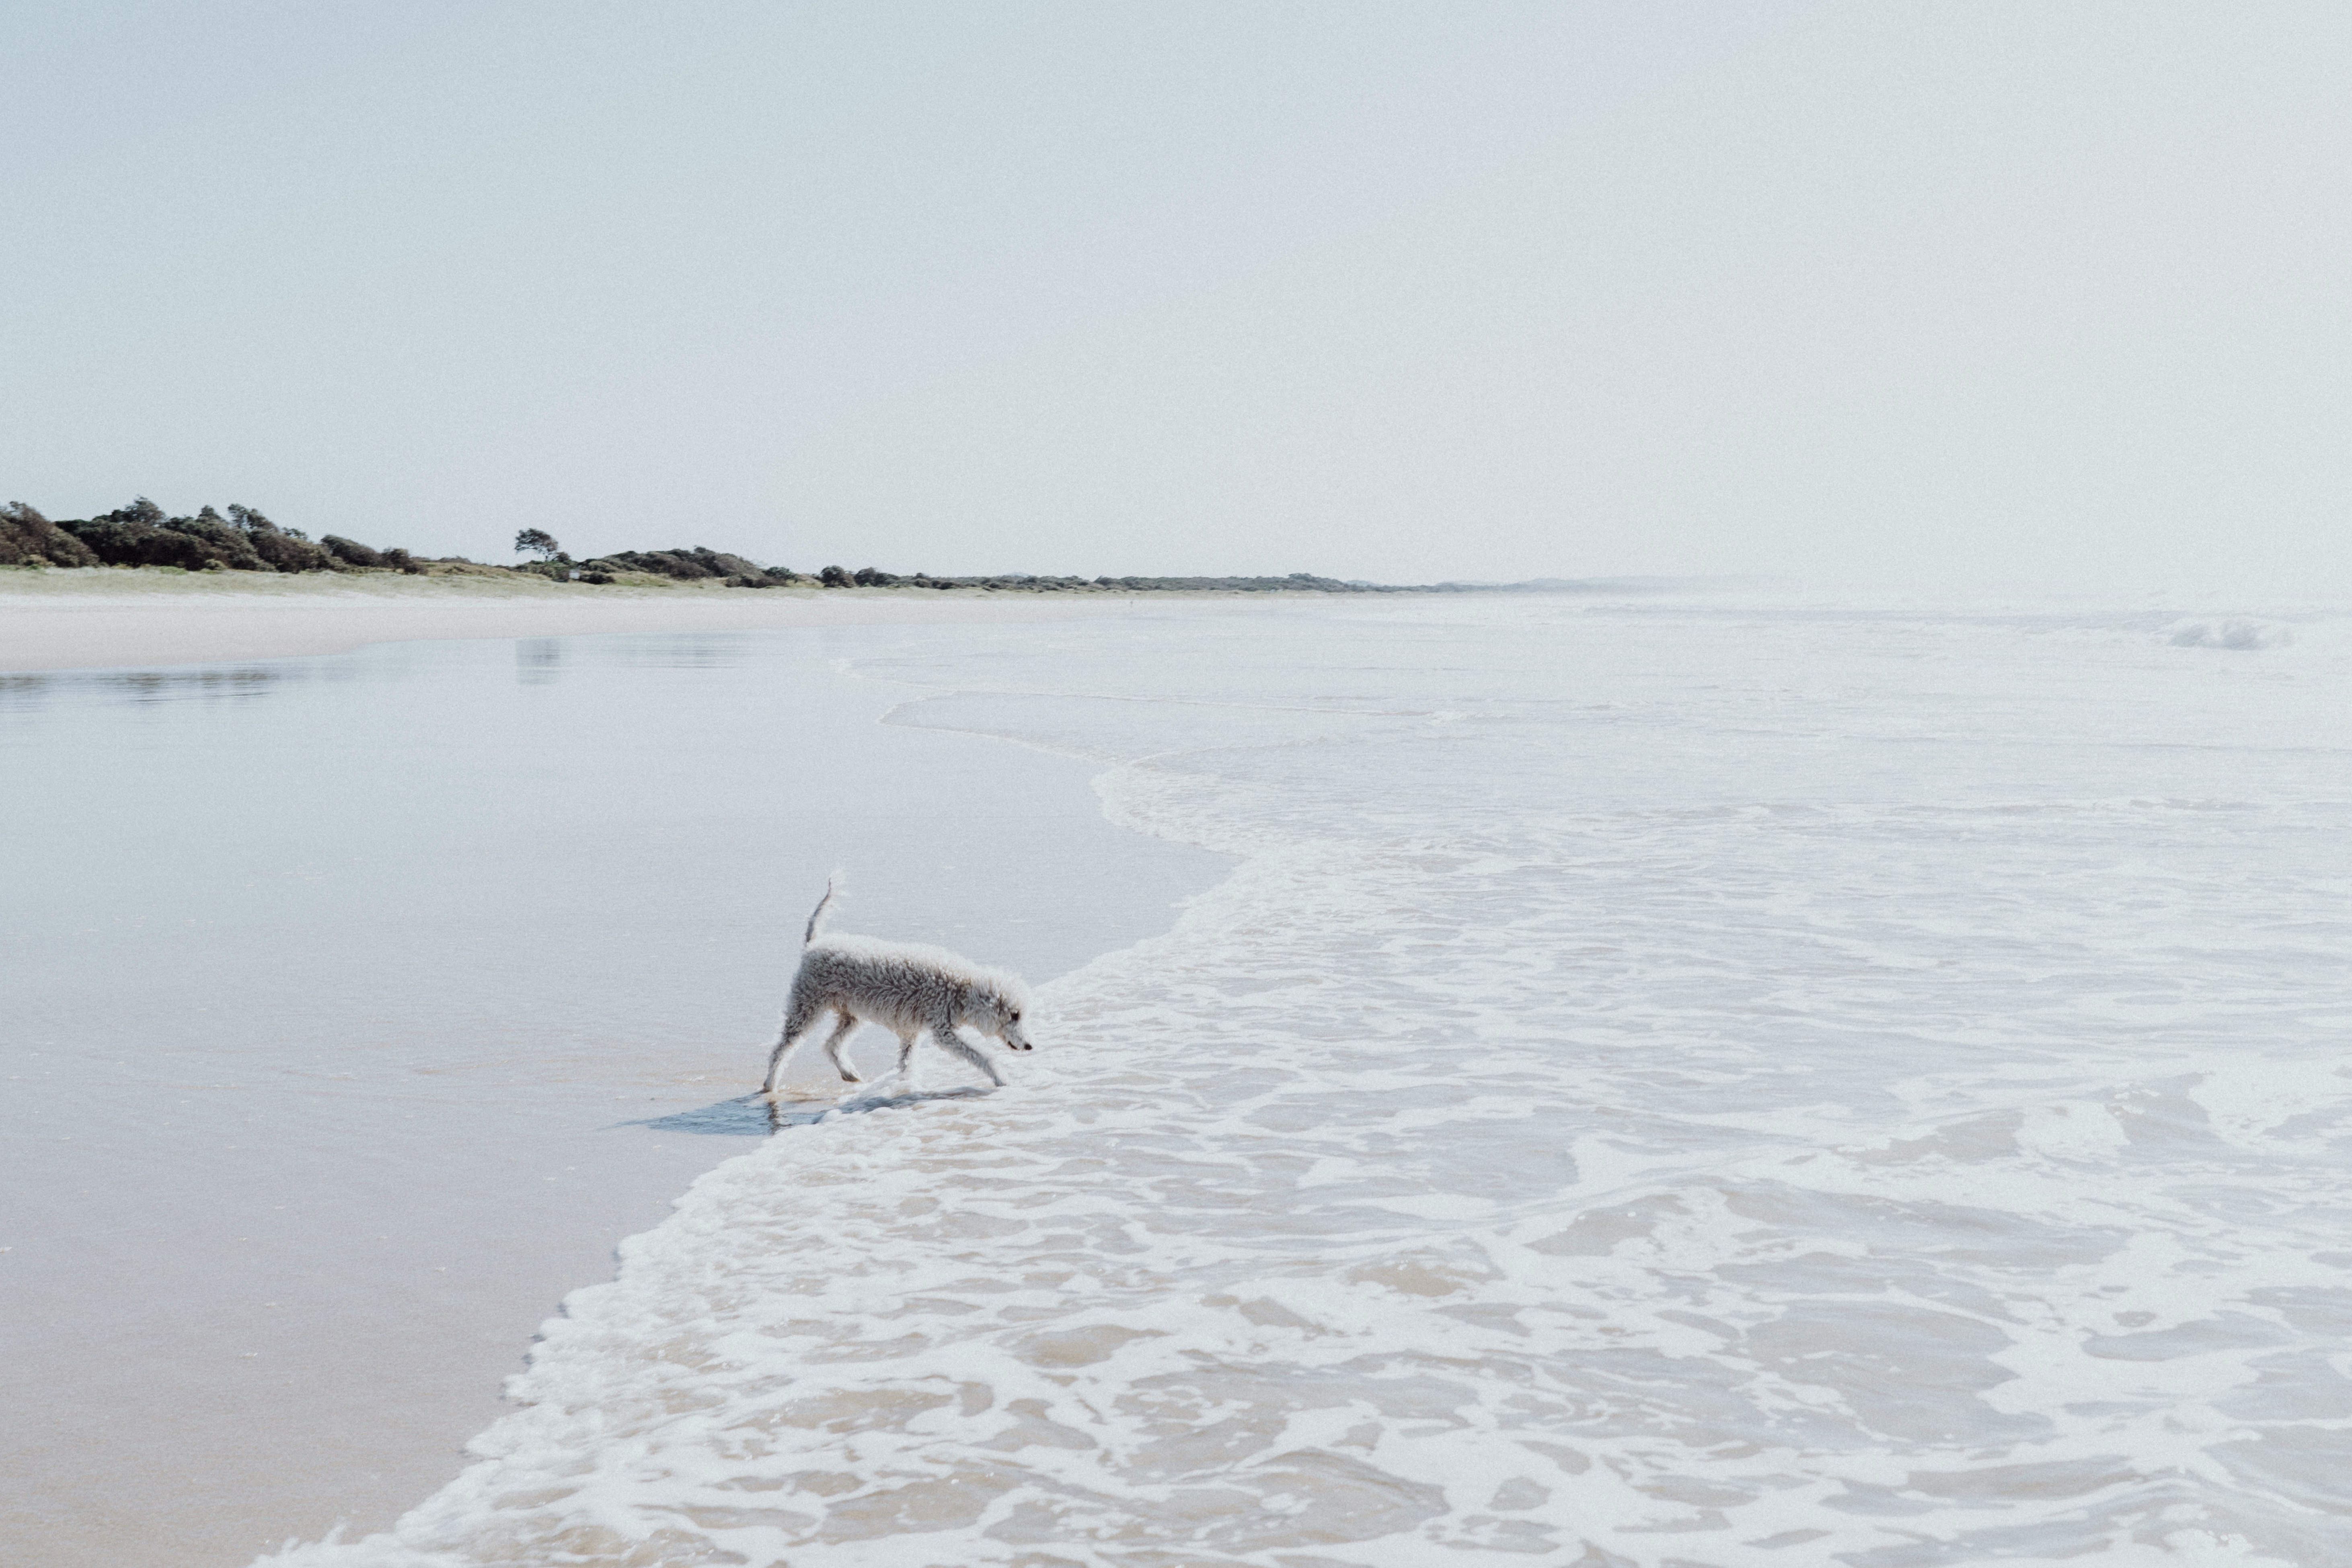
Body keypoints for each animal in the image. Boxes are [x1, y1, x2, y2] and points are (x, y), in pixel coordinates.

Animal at [762, 879, 1039, 1100]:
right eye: (1014, 1016)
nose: (1029, 1047)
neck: (959, 989)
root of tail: (814, 943)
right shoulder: (943, 1030)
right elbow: (982, 1056)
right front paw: (1001, 1079)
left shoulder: (911, 1031)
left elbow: (906, 1063)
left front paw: (906, 1087)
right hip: (807, 1005)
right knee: (781, 1049)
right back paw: (770, 1084)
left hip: (850, 1014)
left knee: (831, 1044)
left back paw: (849, 1074)